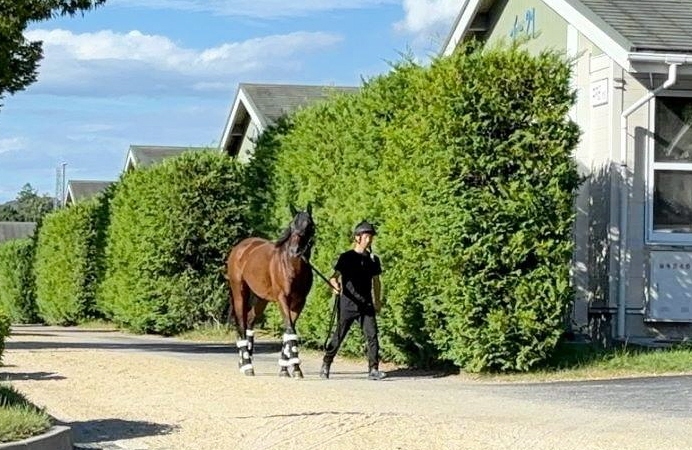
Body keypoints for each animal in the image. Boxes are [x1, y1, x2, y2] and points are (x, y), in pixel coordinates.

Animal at [226, 204, 314, 376]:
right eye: (292, 225)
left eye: (308, 226)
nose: (295, 250)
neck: (293, 266)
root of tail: (240, 247)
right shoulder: (283, 299)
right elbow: (290, 329)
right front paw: (296, 368)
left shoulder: (299, 302)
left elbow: (289, 331)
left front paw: (285, 369)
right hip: (239, 292)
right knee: (241, 323)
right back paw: (247, 365)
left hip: (260, 298)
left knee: (250, 320)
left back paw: (244, 360)